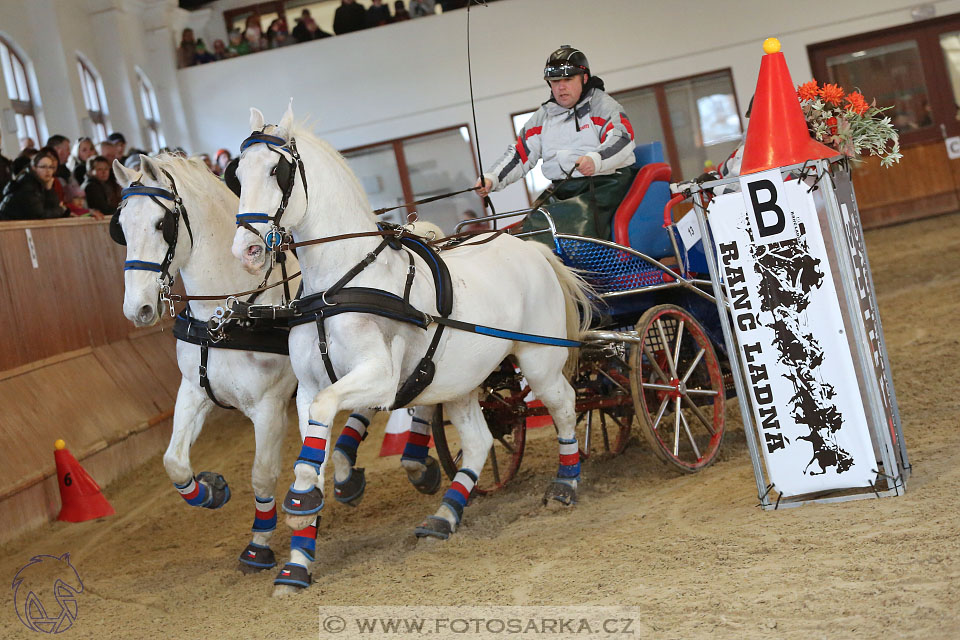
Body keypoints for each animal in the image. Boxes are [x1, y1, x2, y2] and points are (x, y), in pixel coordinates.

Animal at [110, 155, 440, 596]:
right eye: (120, 228)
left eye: (162, 224)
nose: (138, 308)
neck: (231, 311)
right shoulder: (193, 391)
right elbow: (174, 462)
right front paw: (212, 490)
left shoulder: (267, 407)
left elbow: (262, 477)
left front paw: (259, 546)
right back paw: (347, 472)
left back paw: (417, 463)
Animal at [232, 104, 592, 544]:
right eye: (238, 173)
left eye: (276, 171)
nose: (246, 251)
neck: (336, 289)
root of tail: (533, 248)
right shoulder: (310, 386)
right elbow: (315, 435)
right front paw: (312, 496)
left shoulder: (381, 376)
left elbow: (327, 407)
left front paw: (305, 499)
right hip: (461, 379)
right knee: (479, 441)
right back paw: (445, 515)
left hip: (539, 359)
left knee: (564, 407)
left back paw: (565, 483)